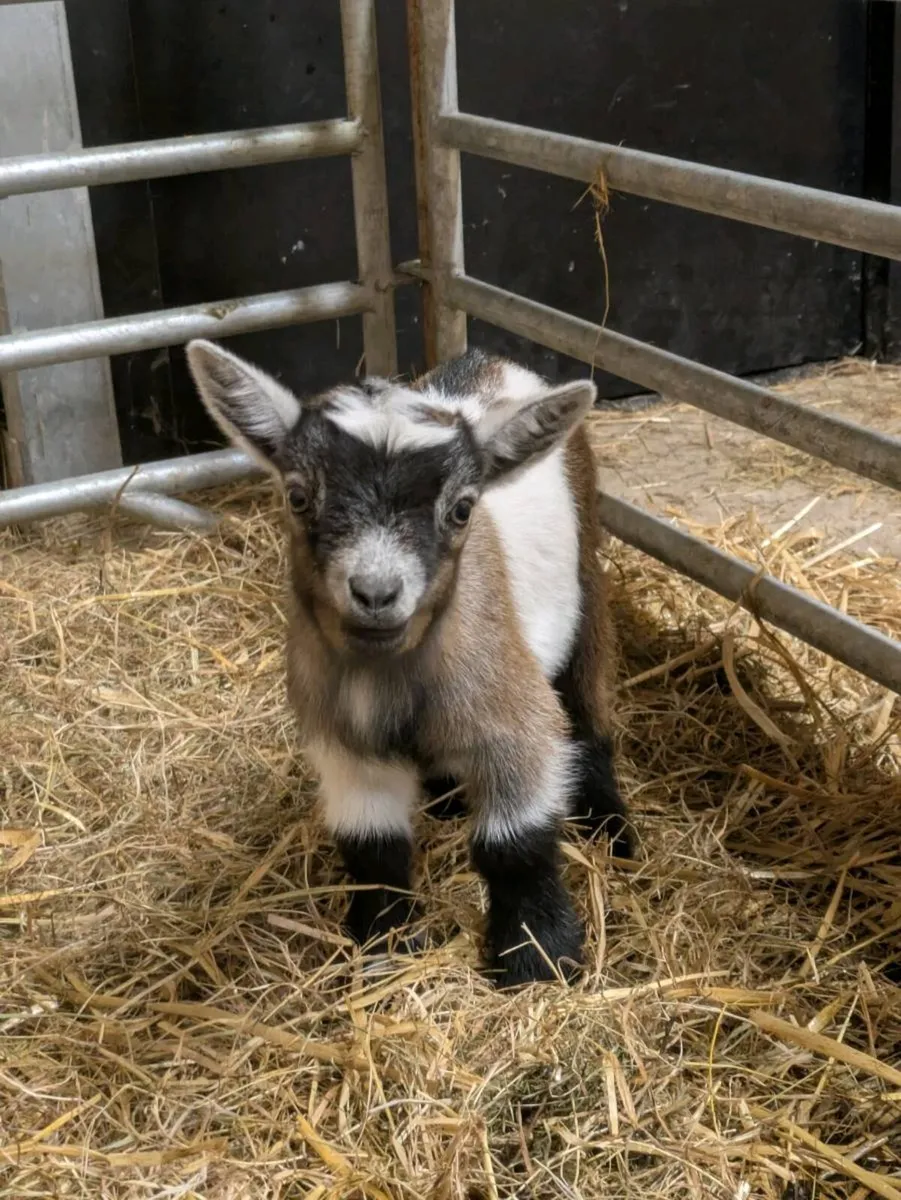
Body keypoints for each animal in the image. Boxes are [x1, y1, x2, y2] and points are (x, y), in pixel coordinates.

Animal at [186, 341, 632, 986]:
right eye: (297, 496)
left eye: (462, 509)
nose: (376, 592)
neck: (391, 678)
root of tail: (491, 361)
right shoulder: (346, 742)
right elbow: (373, 849)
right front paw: (384, 946)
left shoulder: (514, 722)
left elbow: (515, 845)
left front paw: (537, 955)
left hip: (587, 576)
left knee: (588, 704)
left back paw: (610, 827)